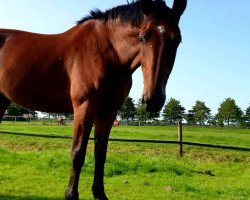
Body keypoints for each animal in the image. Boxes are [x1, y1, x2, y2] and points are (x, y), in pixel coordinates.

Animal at [0, 0, 187, 199]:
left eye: (177, 40)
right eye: (142, 38)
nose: (152, 100)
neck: (109, 52)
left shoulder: (108, 111)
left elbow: (100, 152)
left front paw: (99, 193)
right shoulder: (85, 107)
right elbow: (78, 152)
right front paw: (71, 194)